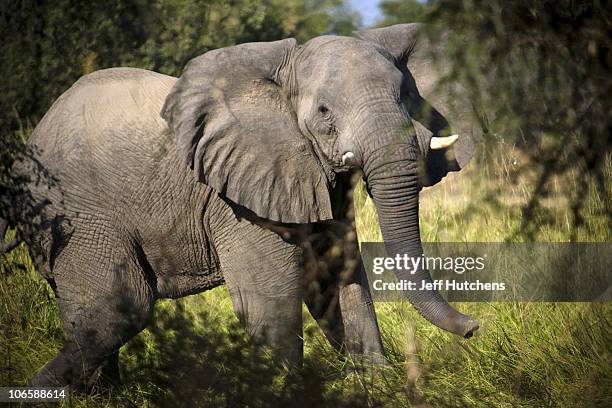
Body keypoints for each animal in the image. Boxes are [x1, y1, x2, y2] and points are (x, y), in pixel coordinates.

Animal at [4, 23, 480, 390]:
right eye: (324, 111)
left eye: (406, 98)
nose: (475, 327)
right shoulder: (238, 197)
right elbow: (270, 299)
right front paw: (287, 395)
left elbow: (338, 276)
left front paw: (376, 387)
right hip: (76, 216)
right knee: (117, 311)